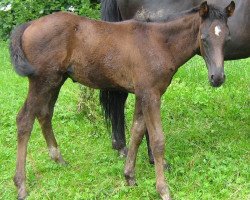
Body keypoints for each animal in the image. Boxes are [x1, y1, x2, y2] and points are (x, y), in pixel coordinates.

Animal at [10, 1, 234, 200]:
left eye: (227, 38)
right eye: (204, 37)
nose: (217, 78)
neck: (159, 43)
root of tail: (28, 25)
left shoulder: (142, 93)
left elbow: (136, 131)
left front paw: (129, 177)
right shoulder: (151, 94)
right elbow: (157, 140)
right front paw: (163, 190)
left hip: (56, 80)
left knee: (44, 113)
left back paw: (58, 159)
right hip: (41, 80)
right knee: (24, 119)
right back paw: (21, 185)